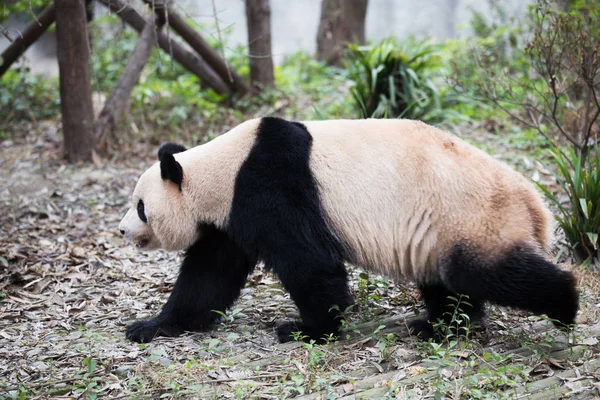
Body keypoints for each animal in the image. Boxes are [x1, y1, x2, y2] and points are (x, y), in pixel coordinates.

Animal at [118, 115, 580, 344]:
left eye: (140, 207)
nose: (122, 232)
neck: (220, 170)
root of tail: (534, 204)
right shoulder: (228, 218)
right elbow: (209, 274)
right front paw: (152, 326)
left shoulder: (269, 183)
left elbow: (308, 260)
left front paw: (308, 329)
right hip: (440, 230)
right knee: (448, 282)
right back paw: (439, 327)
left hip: (471, 216)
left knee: (486, 271)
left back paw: (565, 305)